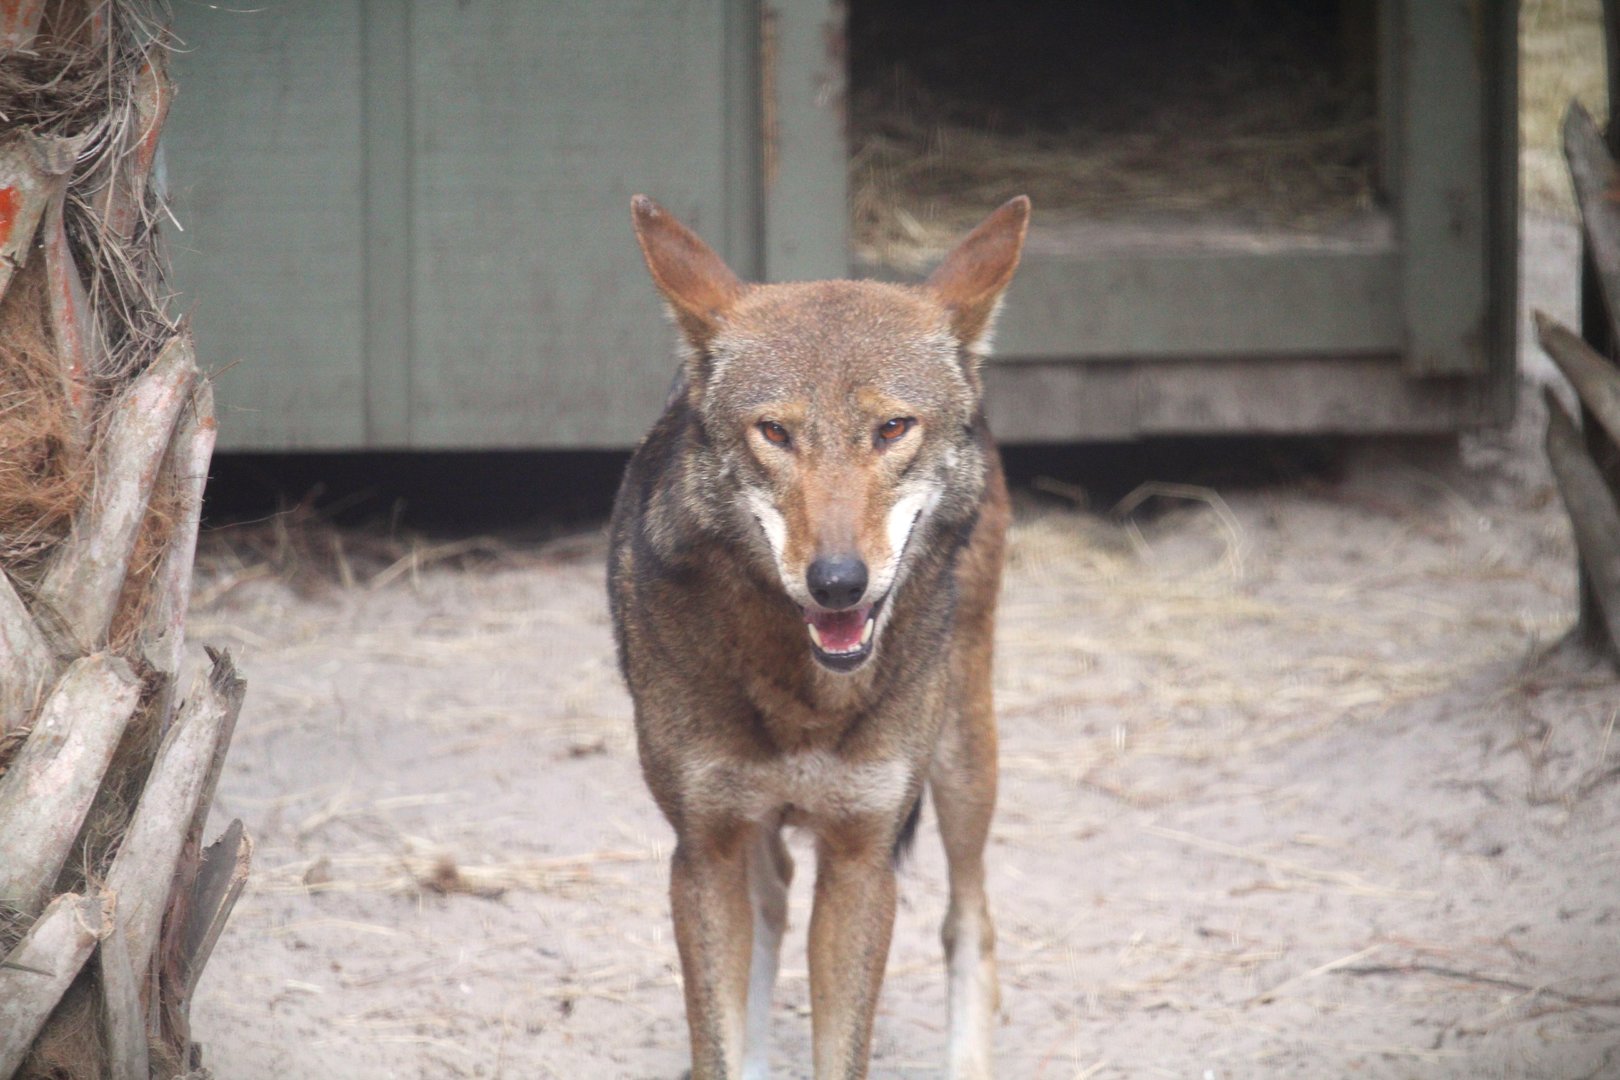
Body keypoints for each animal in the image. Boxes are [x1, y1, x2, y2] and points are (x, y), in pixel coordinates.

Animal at [608, 193, 1029, 1080]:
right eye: (775, 432)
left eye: (893, 428)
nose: (839, 581)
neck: (802, 695)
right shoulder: (703, 851)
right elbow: (719, 1040)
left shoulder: (863, 856)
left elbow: (847, 1048)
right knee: (772, 903)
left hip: (964, 754)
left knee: (969, 922)